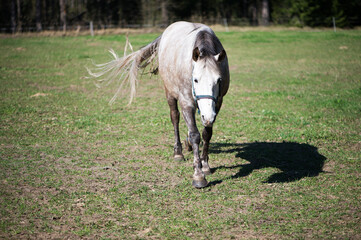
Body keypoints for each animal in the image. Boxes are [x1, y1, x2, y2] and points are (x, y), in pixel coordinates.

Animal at [86, 21, 228, 188]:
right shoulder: (186, 102)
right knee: (175, 118)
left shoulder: (217, 104)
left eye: (218, 80)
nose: (208, 116)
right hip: (170, 93)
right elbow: (194, 135)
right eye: (196, 79)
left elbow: (207, 134)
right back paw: (178, 152)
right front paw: (198, 176)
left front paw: (205, 165)